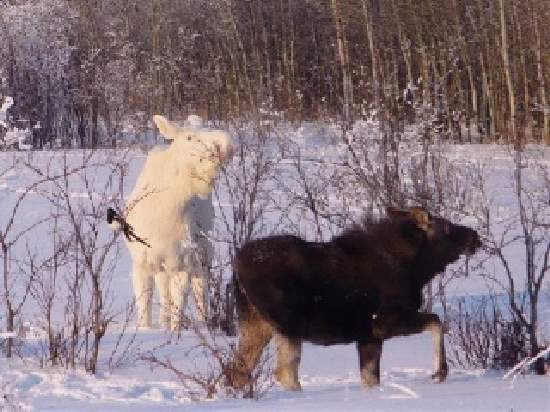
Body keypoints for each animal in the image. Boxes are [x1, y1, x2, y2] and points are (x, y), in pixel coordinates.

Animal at [231, 208, 480, 392]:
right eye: (446, 227)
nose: (474, 235)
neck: (417, 270)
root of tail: (237, 267)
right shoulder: (384, 322)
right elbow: (436, 321)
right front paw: (440, 372)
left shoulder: (368, 337)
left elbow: (370, 379)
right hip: (288, 323)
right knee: (284, 372)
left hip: (256, 325)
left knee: (236, 371)